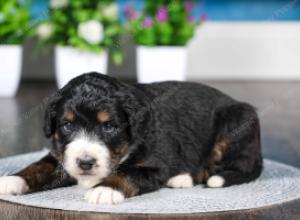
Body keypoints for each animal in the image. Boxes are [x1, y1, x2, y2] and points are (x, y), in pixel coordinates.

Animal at [0, 72, 262, 205]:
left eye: (109, 127)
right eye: (67, 125)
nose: (85, 163)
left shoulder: (155, 165)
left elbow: (128, 173)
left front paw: (105, 190)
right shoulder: (62, 156)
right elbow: (39, 166)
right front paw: (12, 180)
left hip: (236, 123)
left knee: (238, 167)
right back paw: (183, 178)